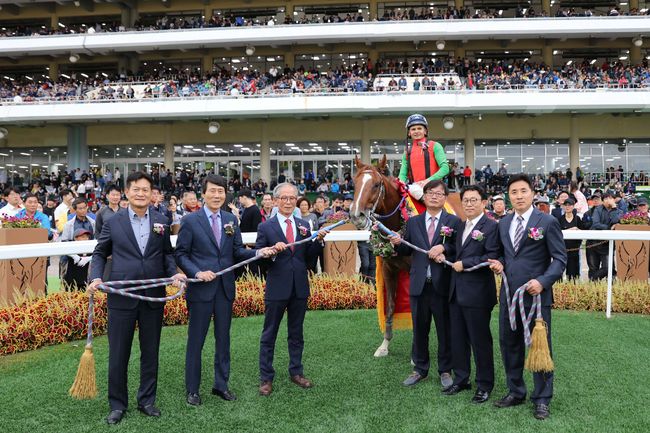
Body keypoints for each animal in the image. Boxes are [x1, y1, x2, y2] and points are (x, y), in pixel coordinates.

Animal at [346, 154, 408, 356]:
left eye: (375, 184)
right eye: (354, 183)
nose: (356, 215)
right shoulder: (389, 269)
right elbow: (390, 307)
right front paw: (384, 345)